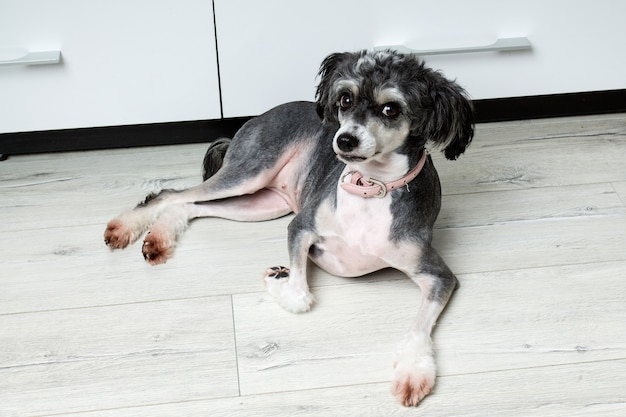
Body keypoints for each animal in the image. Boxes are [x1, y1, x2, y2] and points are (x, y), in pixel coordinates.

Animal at [102, 49, 472, 406]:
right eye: (345, 99)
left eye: (390, 108)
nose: (344, 140)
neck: (370, 186)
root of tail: (260, 115)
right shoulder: (300, 226)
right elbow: (300, 298)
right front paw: (277, 278)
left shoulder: (439, 275)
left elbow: (419, 327)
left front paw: (413, 371)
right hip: (251, 171)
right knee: (170, 194)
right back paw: (127, 227)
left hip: (261, 205)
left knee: (188, 206)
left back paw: (159, 237)